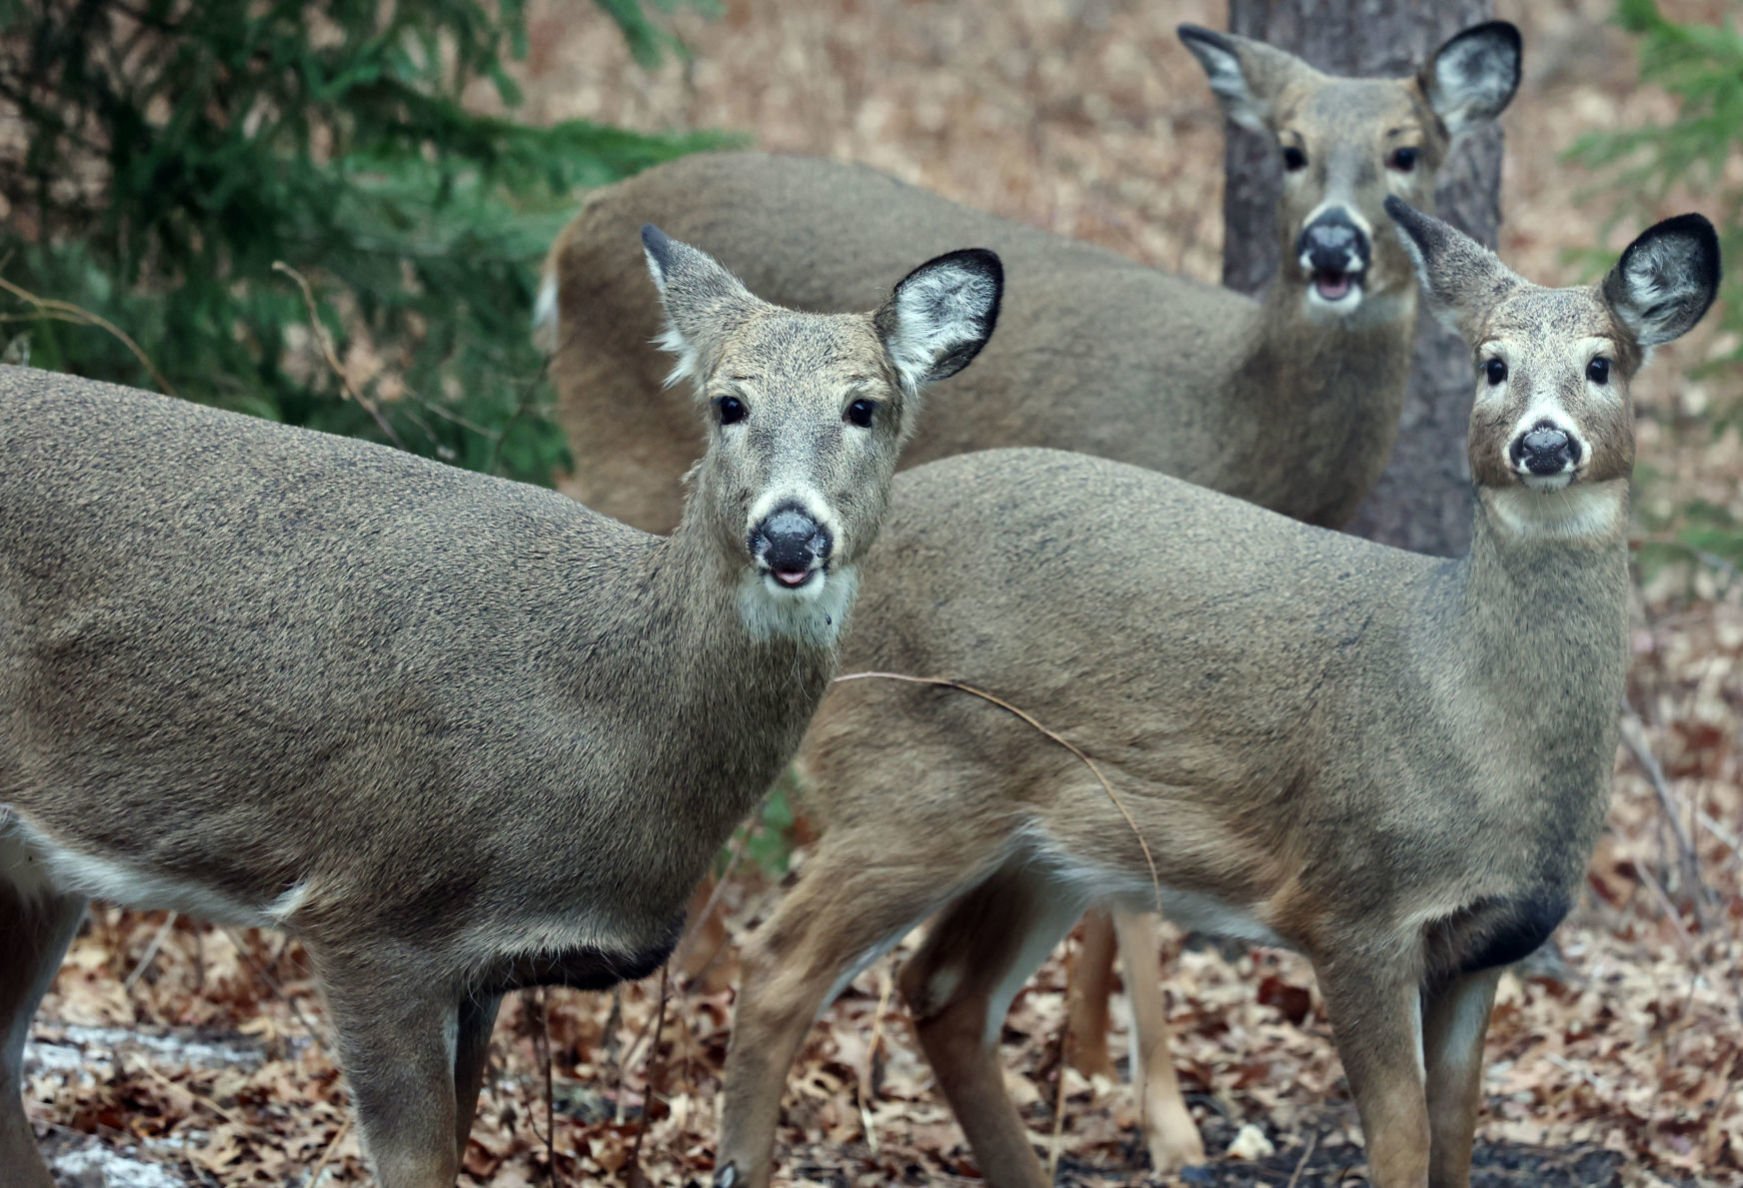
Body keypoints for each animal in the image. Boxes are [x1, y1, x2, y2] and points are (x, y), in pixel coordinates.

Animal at [0, 224, 1003, 1184]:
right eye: (728, 403)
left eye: (864, 406)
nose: (788, 533)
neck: (613, 714)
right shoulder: (370, 907)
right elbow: (420, 1165)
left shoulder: (482, 966)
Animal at [533, 27, 1526, 1163]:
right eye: (1288, 149)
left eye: (1407, 151)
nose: (1331, 248)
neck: (1228, 421)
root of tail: (575, 230)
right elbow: (1134, 897)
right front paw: (1167, 1122)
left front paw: (1089, 1057)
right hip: (625, 462)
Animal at [707, 203, 1715, 1184]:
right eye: (1492, 364)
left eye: (1601, 363)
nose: (1541, 441)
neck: (1465, 709)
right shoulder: (1352, 907)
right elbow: (1398, 1142)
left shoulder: (1485, 947)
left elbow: (1455, 1140)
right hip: (907, 790)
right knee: (778, 967)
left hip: (1041, 845)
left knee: (946, 995)